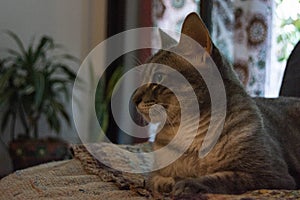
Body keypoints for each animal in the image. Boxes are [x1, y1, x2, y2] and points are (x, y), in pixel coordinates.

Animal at [132, 12, 298, 198]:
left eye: (158, 78)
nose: (134, 99)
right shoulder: (154, 173)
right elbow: (154, 179)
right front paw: (168, 182)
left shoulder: (271, 174)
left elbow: (223, 177)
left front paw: (187, 183)